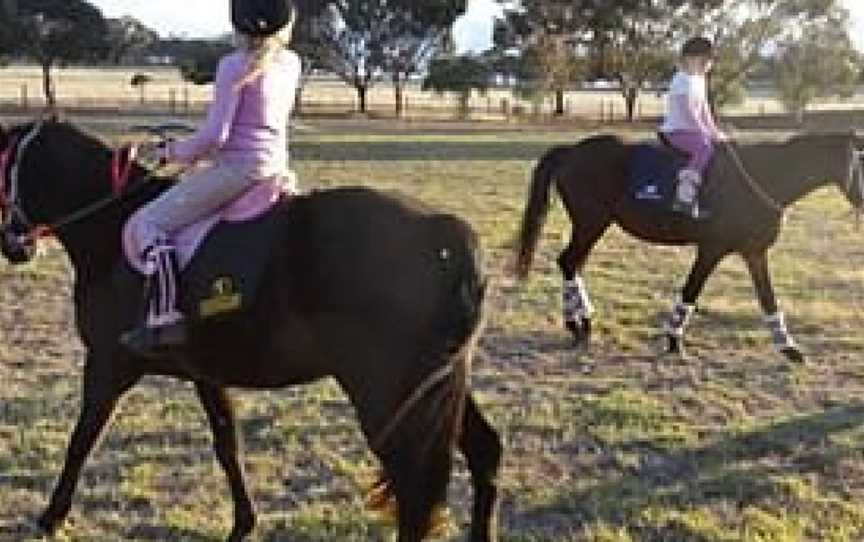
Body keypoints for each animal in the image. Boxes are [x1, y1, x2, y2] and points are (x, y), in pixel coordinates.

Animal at [0, 120, 506, 542]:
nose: (14, 248)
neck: (112, 230)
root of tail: (443, 232)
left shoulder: (108, 364)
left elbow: (82, 438)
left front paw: (51, 517)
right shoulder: (205, 373)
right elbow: (227, 444)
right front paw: (244, 524)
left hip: (386, 395)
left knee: (412, 486)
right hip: (434, 386)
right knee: (483, 453)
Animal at [516, 132, 860, 364]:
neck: (764, 176)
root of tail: (572, 150)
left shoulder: (754, 252)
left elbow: (768, 298)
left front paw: (789, 348)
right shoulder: (711, 250)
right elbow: (692, 290)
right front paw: (673, 341)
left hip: (591, 227)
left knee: (572, 264)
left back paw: (582, 323)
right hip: (591, 224)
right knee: (568, 262)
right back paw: (577, 325)